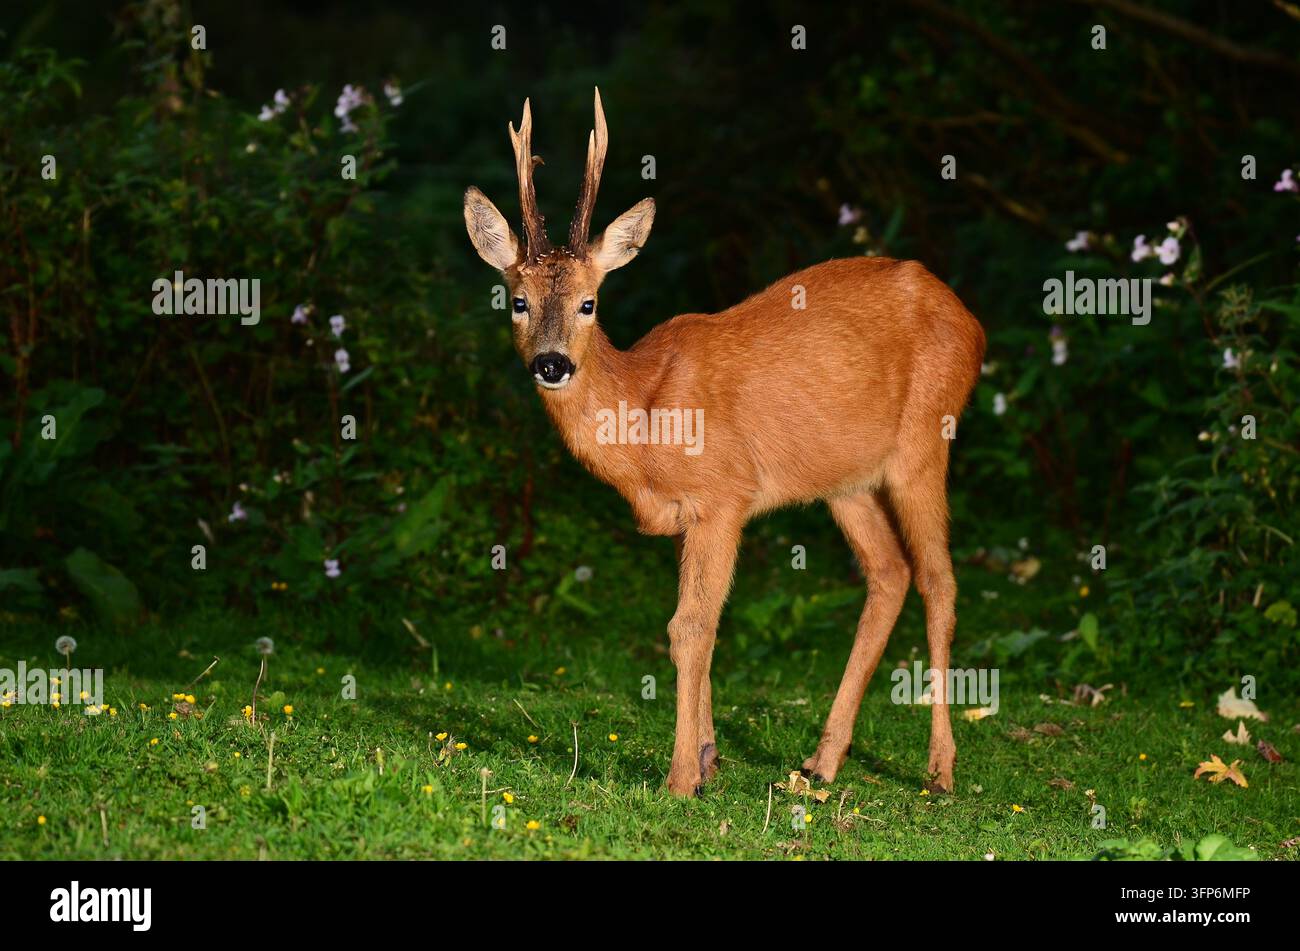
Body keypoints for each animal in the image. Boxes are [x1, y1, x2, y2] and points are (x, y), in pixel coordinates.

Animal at [464, 89, 986, 798]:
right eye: (517, 301)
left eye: (589, 303)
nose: (551, 364)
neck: (644, 413)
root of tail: (972, 321)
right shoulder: (686, 516)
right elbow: (702, 625)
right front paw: (709, 756)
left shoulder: (724, 496)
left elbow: (688, 627)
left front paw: (681, 776)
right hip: (847, 481)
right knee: (889, 573)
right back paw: (822, 761)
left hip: (925, 442)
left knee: (940, 580)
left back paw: (940, 768)